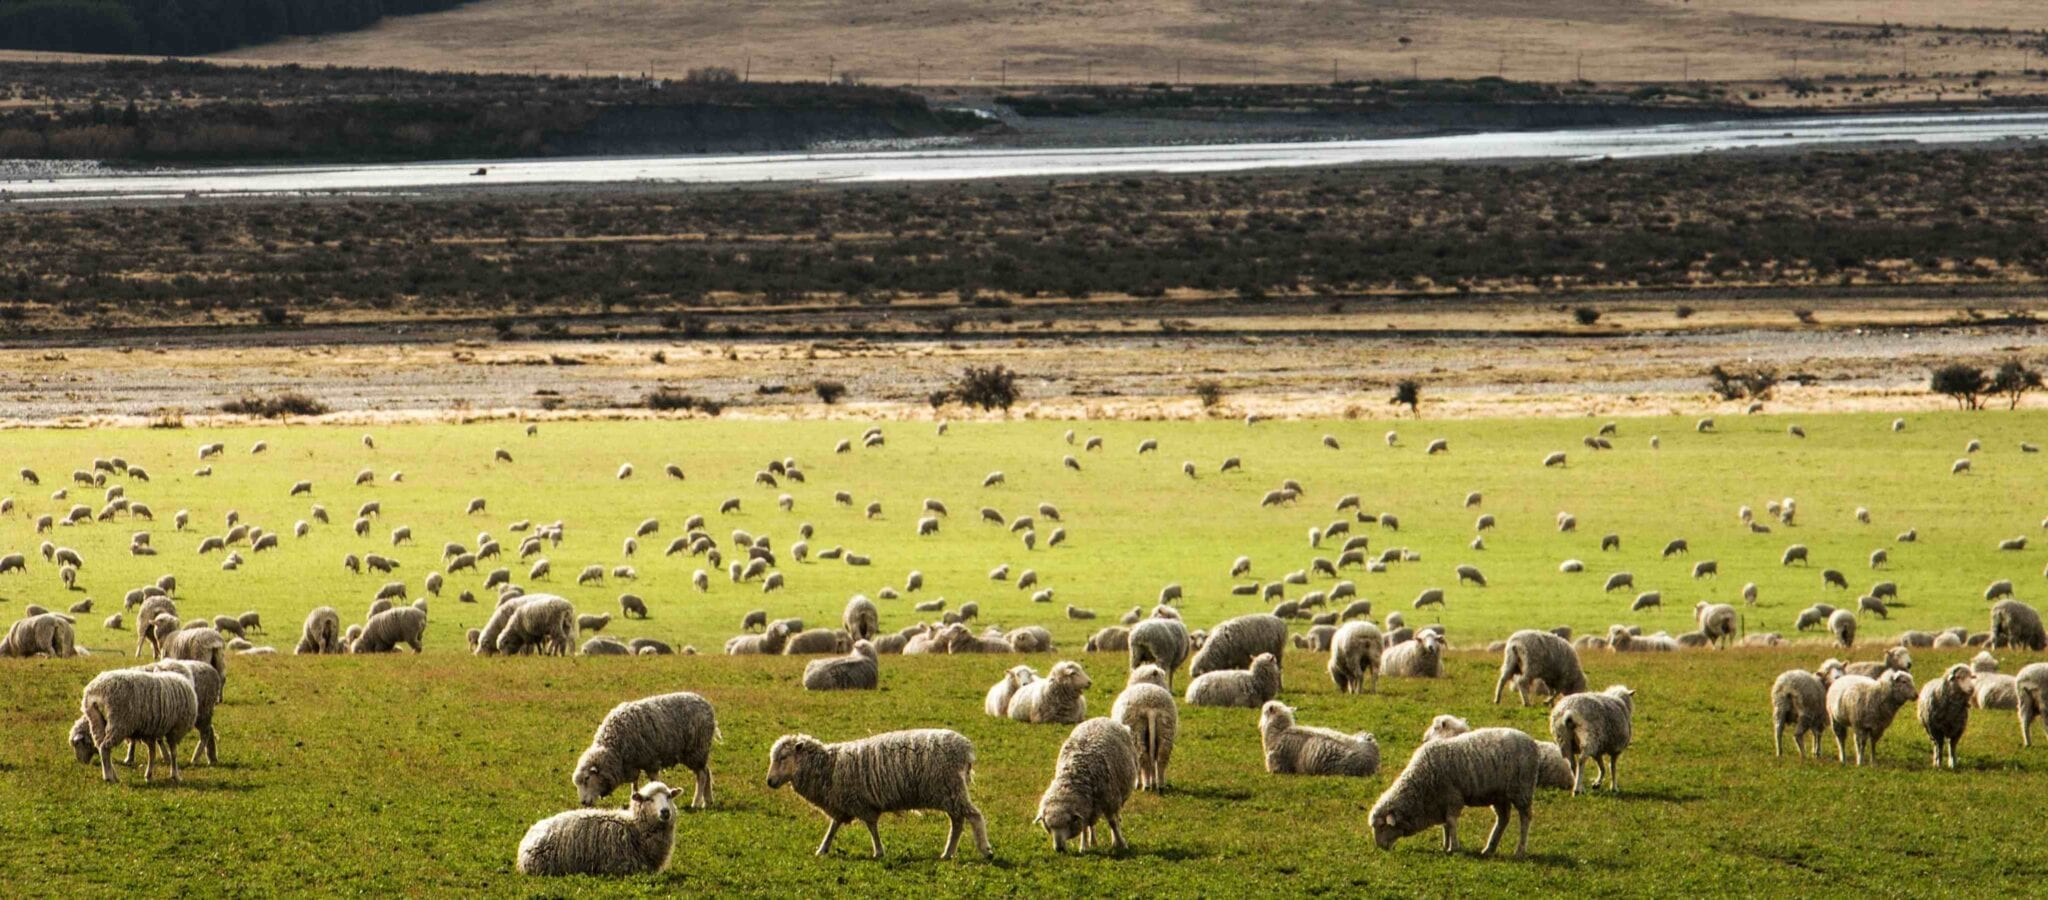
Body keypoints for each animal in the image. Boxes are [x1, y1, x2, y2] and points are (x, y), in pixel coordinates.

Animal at [770, 729, 991, 865]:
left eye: (783, 757)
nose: (769, 781)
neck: (828, 766)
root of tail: (965, 749)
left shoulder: (860, 803)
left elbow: (871, 827)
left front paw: (878, 852)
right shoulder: (842, 804)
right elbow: (833, 827)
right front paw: (822, 849)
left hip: (951, 789)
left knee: (974, 816)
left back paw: (985, 850)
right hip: (949, 793)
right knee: (958, 822)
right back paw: (948, 853)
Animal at [1032, 717, 1146, 852]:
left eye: (1068, 822)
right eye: (1048, 825)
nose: (1059, 849)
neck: (1074, 774)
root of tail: (1100, 718)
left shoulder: (1109, 801)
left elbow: (1112, 823)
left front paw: (1121, 843)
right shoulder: (1084, 809)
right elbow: (1084, 827)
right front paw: (1084, 846)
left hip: (1117, 797)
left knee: (1116, 818)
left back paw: (1114, 840)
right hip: (1093, 805)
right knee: (1091, 824)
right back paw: (1093, 841)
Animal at [1359, 725, 1540, 861]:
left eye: (1382, 826)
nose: (1380, 847)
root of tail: (1532, 742)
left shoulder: (1453, 798)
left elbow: (1451, 822)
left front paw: (1454, 848)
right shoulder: (1441, 801)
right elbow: (1445, 824)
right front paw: (1445, 845)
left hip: (1522, 789)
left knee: (1525, 818)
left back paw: (1520, 851)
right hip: (1500, 795)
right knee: (1503, 819)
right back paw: (1489, 849)